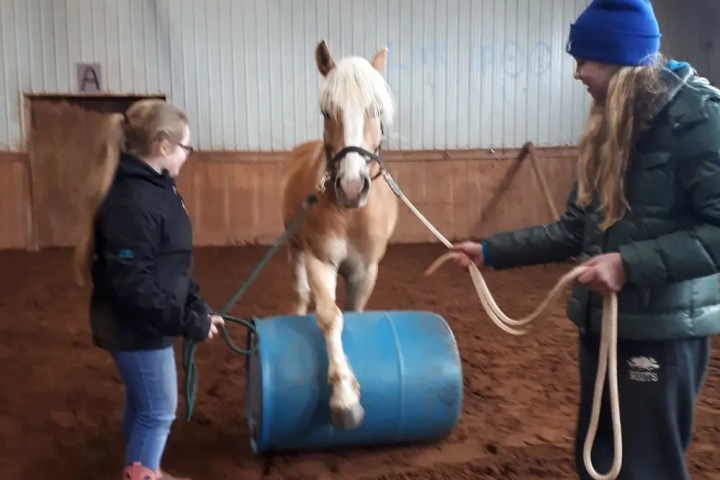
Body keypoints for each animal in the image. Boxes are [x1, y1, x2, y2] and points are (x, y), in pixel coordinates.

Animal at [279, 40, 398, 430]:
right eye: (327, 111)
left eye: (375, 110)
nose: (351, 187)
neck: (350, 215)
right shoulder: (321, 262)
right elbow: (330, 317)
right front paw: (344, 397)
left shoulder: (365, 272)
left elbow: (353, 314)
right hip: (294, 250)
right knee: (301, 296)